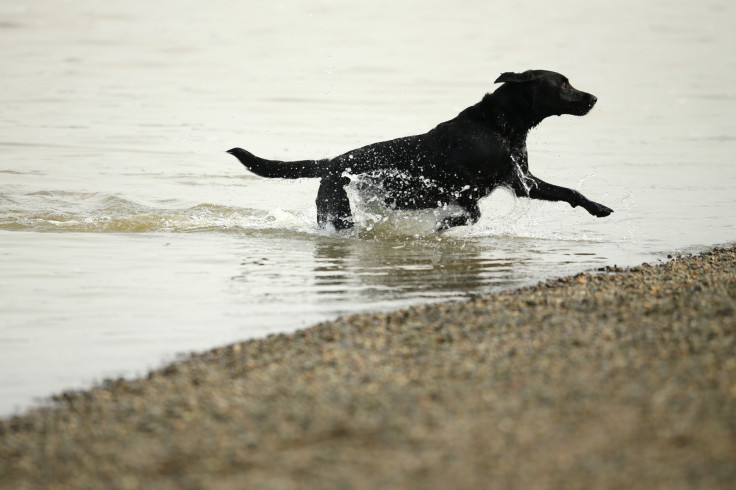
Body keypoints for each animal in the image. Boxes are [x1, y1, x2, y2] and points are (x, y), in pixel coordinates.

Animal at [227, 69, 612, 232]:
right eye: (563, 84)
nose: (594, 98)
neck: (500, 126)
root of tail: (334, 162)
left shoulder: (522, 181)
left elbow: (569, 191)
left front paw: (598, 207)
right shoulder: (465, 186)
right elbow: (472, 213)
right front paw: (445, 224)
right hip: (339, 211)